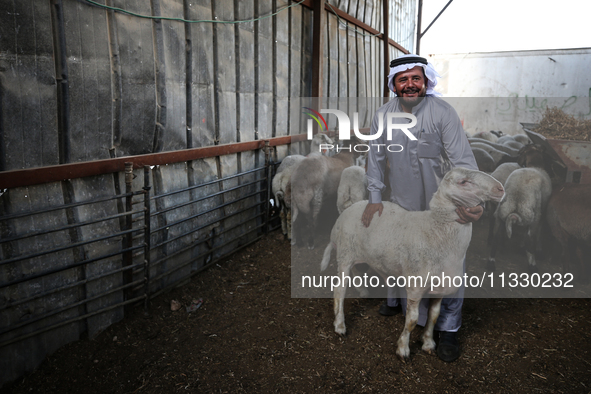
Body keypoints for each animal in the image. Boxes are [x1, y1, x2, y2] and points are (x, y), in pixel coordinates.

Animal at [322, 166, 506, 360]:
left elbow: (434, 316)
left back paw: (363, 291)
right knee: (339, 290)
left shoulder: (440, 288)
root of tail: (351, 207)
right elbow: (412, 320)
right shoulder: (415, 287)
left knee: (357, 270)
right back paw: (340, 325)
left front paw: (428, 343)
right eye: (463, 182)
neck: (436, 231)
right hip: (345, 254)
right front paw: (403, 349)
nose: (500, 189)